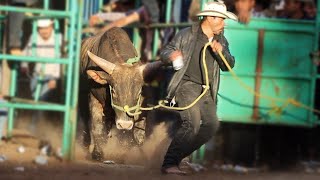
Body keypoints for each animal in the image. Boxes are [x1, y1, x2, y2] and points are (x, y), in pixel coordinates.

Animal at [79, 27, 161, 160]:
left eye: (138, 93)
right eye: (113, 91)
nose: (124, 125)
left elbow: (139, 134)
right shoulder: (94, 99)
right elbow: (97, 128)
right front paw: (97, 153)